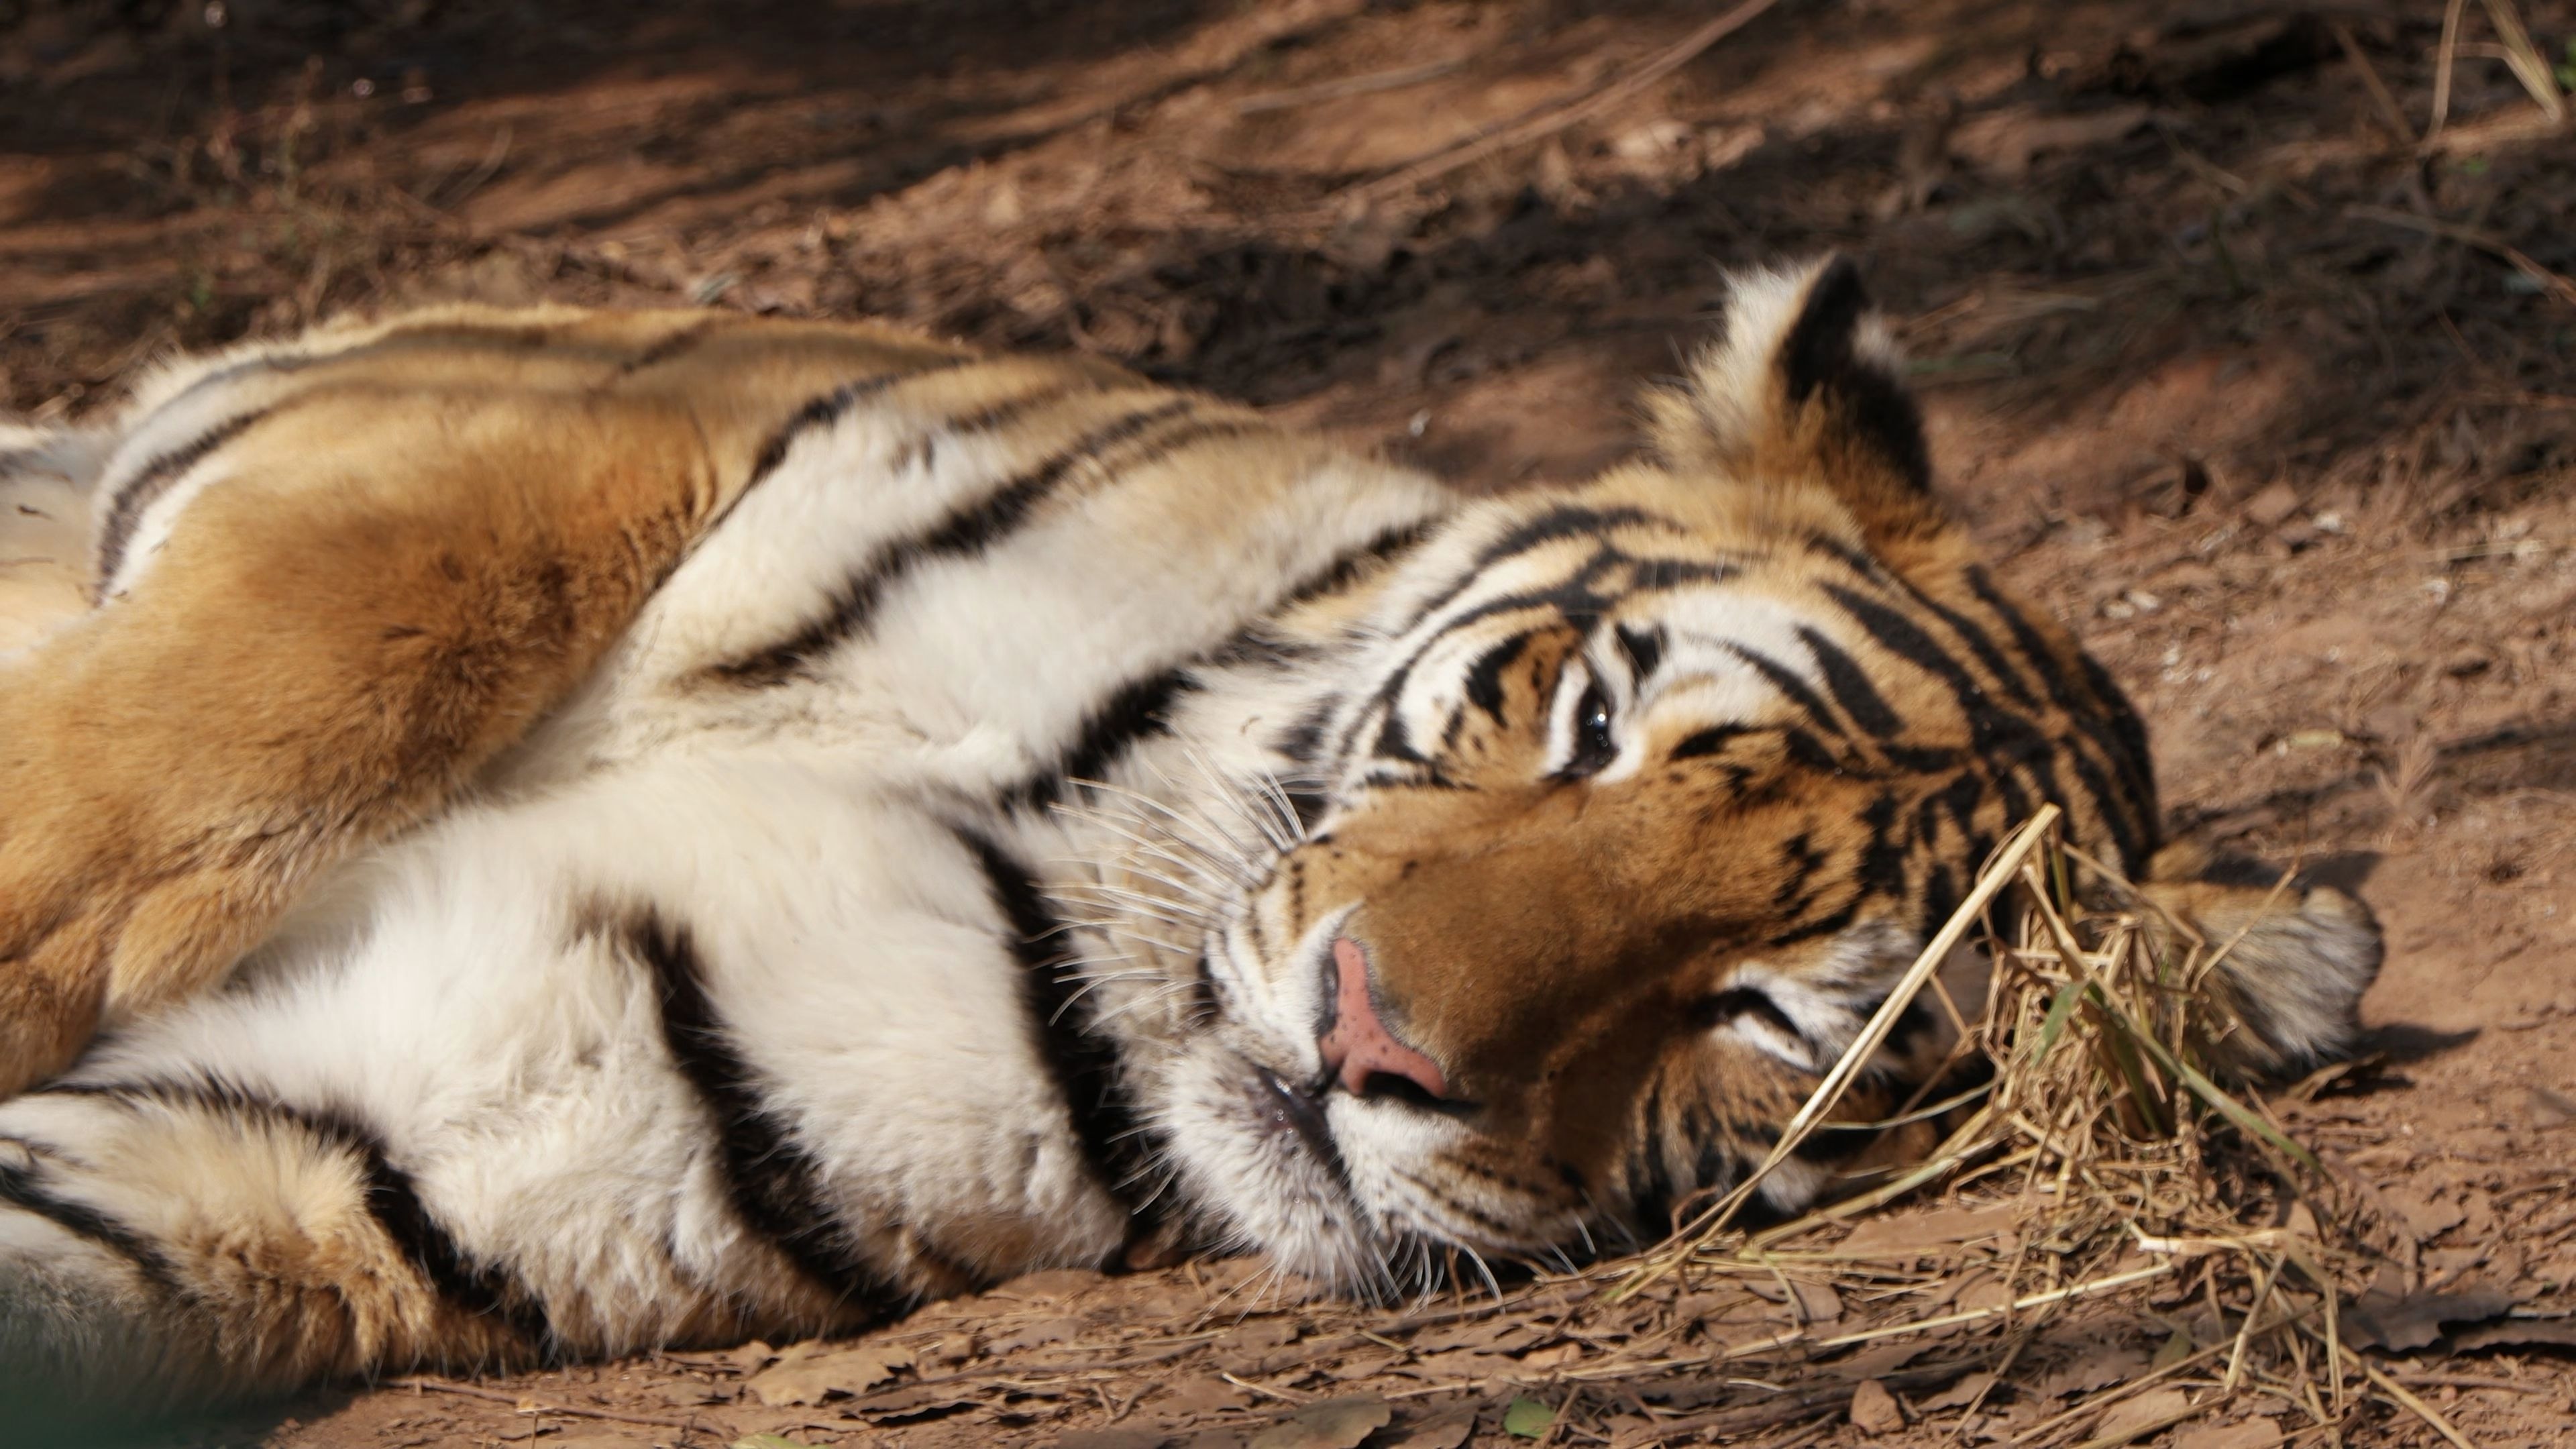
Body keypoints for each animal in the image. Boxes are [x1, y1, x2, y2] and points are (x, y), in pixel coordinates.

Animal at [0, 251, 2369, 1413]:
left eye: (1785, 1021)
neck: (1099, 840)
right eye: (1592, 721)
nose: (1367, 1043)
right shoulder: (548, 427)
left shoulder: (383, 1123)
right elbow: (224, 718)